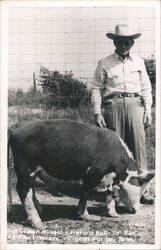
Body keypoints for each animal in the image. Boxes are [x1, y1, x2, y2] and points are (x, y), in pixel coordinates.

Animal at [8, 119, 154, 229]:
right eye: (141, 188)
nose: (136, 210)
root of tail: (18, 126)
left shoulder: (107, 177)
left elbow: (110, 194)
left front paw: (112, 213)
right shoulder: (93, 173)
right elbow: (85, 193)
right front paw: (86, 216)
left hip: (31, 171)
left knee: (29, 189)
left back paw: (36, 211)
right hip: (26, 168)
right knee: (23, 190)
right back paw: (37, 222)